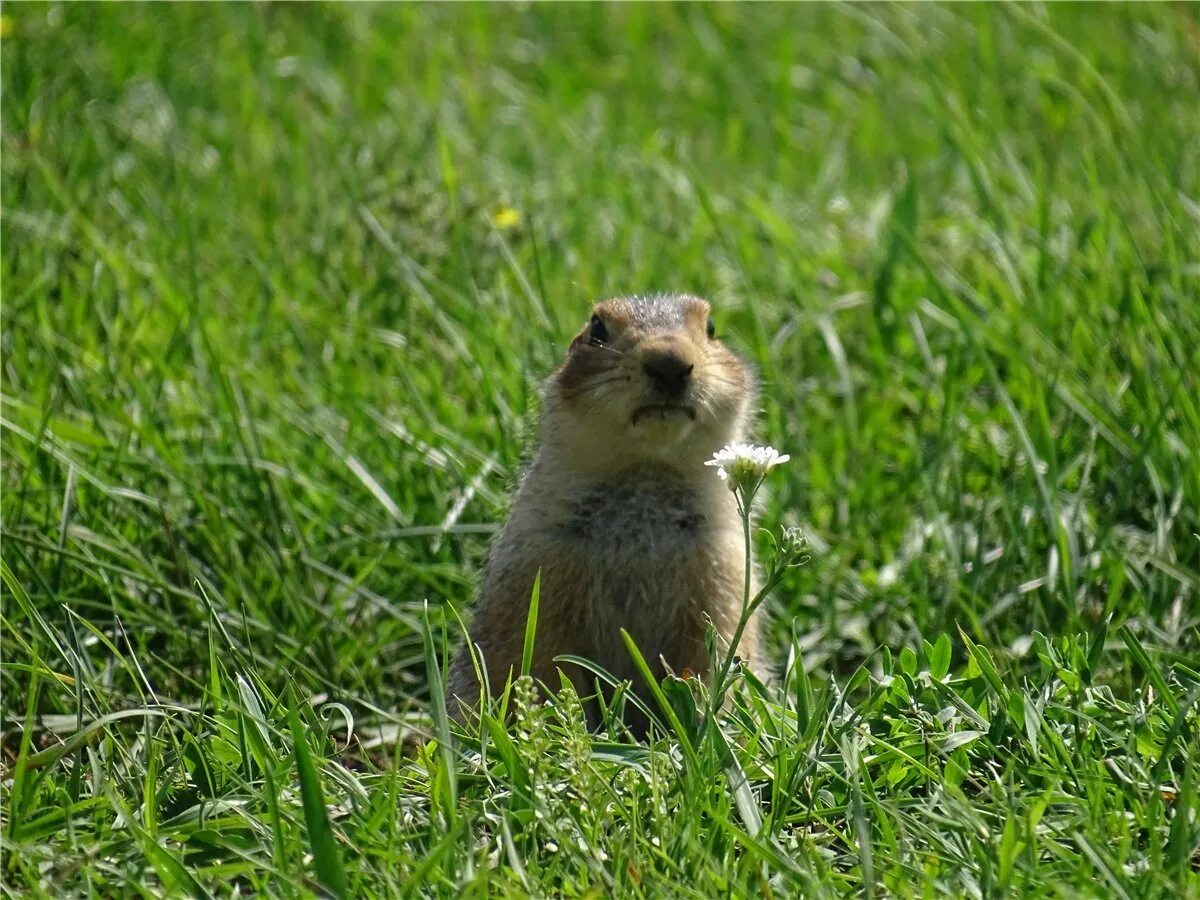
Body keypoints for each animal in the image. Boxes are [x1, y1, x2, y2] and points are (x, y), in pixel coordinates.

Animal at [446, 292, 763, 729]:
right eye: (597, 328)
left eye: (712, 327)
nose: (669, 361)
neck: (646, 471)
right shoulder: (538, 560)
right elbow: (535, 653)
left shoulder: (723, 564)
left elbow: (716, 646)